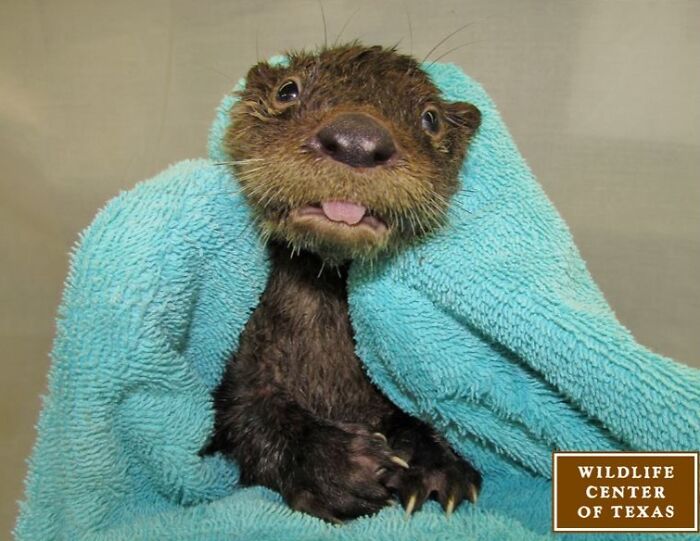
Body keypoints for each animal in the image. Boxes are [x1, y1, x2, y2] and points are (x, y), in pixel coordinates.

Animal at [203, 43, 483, 523]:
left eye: (430, 118)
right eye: (287, 89)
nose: (357, 138)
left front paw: (438, 462)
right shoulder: (239, 366)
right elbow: (246, 412)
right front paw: (338, 467)